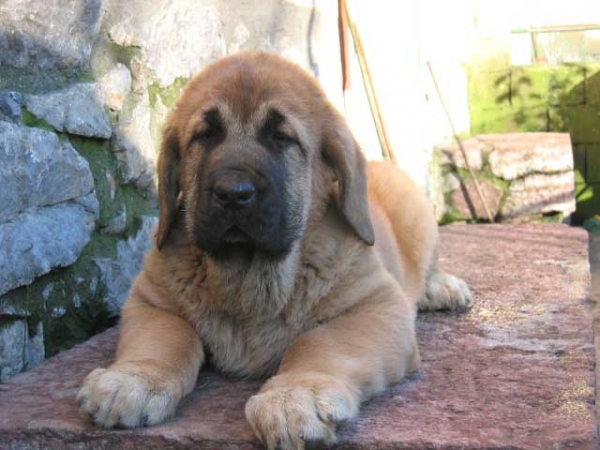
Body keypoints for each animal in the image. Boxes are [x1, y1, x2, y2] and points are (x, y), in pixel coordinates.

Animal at [78, 51, 474, 448]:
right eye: (205, 135)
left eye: (281, 138)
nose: (232, 193)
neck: (248, 277)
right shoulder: (152, 301)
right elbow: (165, 337)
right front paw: (134, 379)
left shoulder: (376, 304)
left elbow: (321, 342)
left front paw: (294, 396)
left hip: (418, 213)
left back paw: (443, 287)